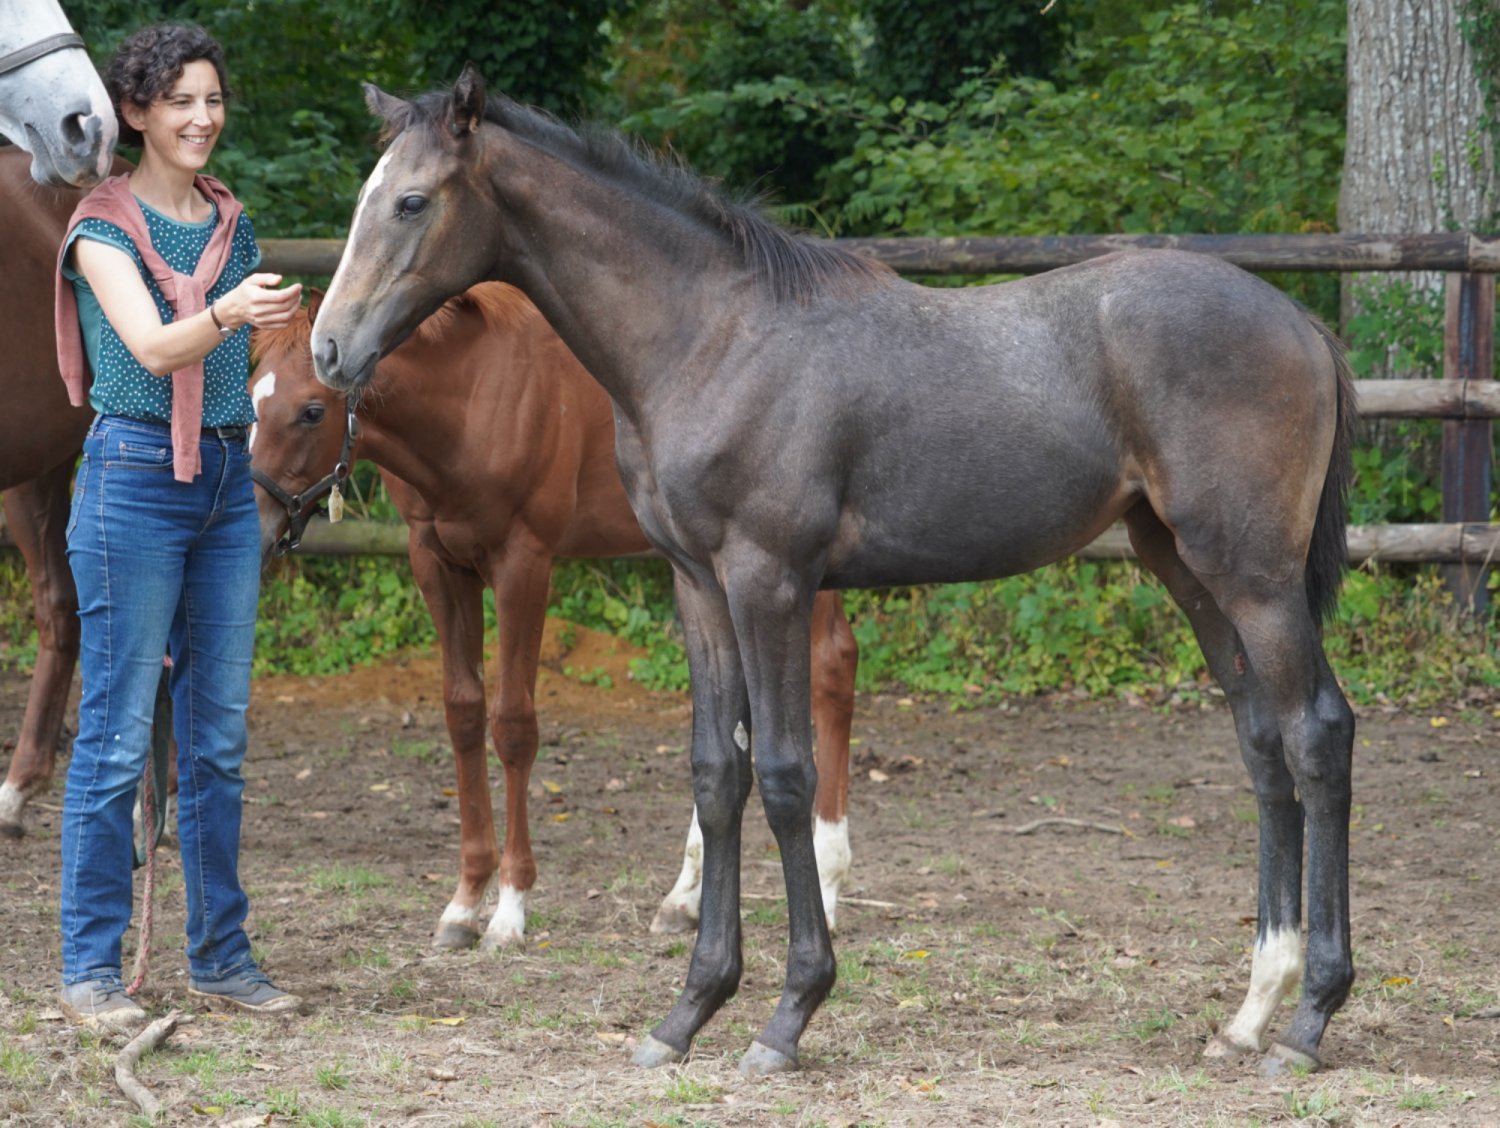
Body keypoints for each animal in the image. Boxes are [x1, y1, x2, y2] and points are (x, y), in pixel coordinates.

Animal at [249, 285, 859, 949]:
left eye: (312, 411)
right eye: (250, 394)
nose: (252, 525)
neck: (470, 396)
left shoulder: (524, 562)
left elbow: (513, 725)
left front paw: (510, 908)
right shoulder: (434, 562)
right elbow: (463, 714)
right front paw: (464, 901)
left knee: (833, 664)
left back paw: (828, 883)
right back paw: (685, 896)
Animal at [310, 70, 1358, 1079]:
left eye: (410, 201)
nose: (329, 348)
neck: (712, 337)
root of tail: (1304, 322)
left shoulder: (767, 578)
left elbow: (782, 775)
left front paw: (788, 1015)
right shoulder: (697, 585)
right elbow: (715, 774)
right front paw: (688, 1012)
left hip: (1252, 575)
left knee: (1317, 734)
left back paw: (1309, 1019)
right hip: (1182, 565)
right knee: (1261, 744)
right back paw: (1251, 1012)